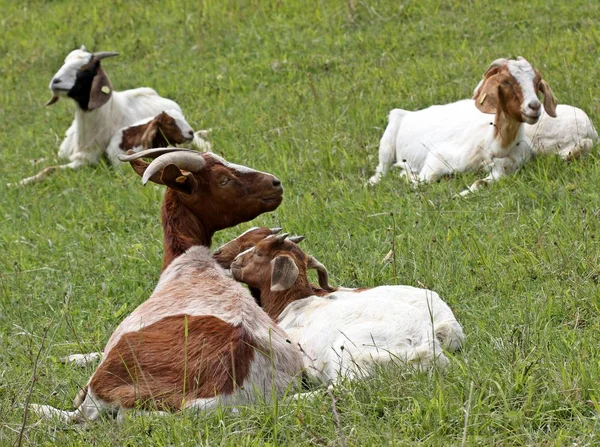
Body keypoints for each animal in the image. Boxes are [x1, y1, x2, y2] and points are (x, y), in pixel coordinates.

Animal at [17, 46, 188, 186]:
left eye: (85, 69)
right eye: (64, 62)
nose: (55, 82)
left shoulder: (86, 162)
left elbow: (50, 169)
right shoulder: (63, 155)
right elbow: (43, 164)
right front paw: (19, 181)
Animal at [368, 56, 560, 196]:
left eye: (537, 82)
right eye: (505, 81)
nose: (534, 106)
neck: (496, 145)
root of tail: (409, 113)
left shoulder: (505, 169)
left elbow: (479, 183)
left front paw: (460, 194)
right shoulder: (437, 158)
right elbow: (420, 183)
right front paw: (407, 176)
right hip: (388, 141)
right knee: (381, 170)